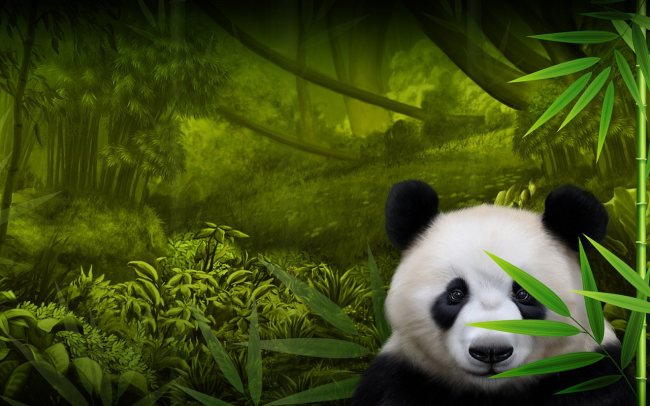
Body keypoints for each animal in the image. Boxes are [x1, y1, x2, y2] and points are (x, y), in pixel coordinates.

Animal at [352, 180, 635, 406]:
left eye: (524, 294)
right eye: (456, 294)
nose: (490, 351)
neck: (491, 390)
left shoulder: (593, 372)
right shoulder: (402, 376)